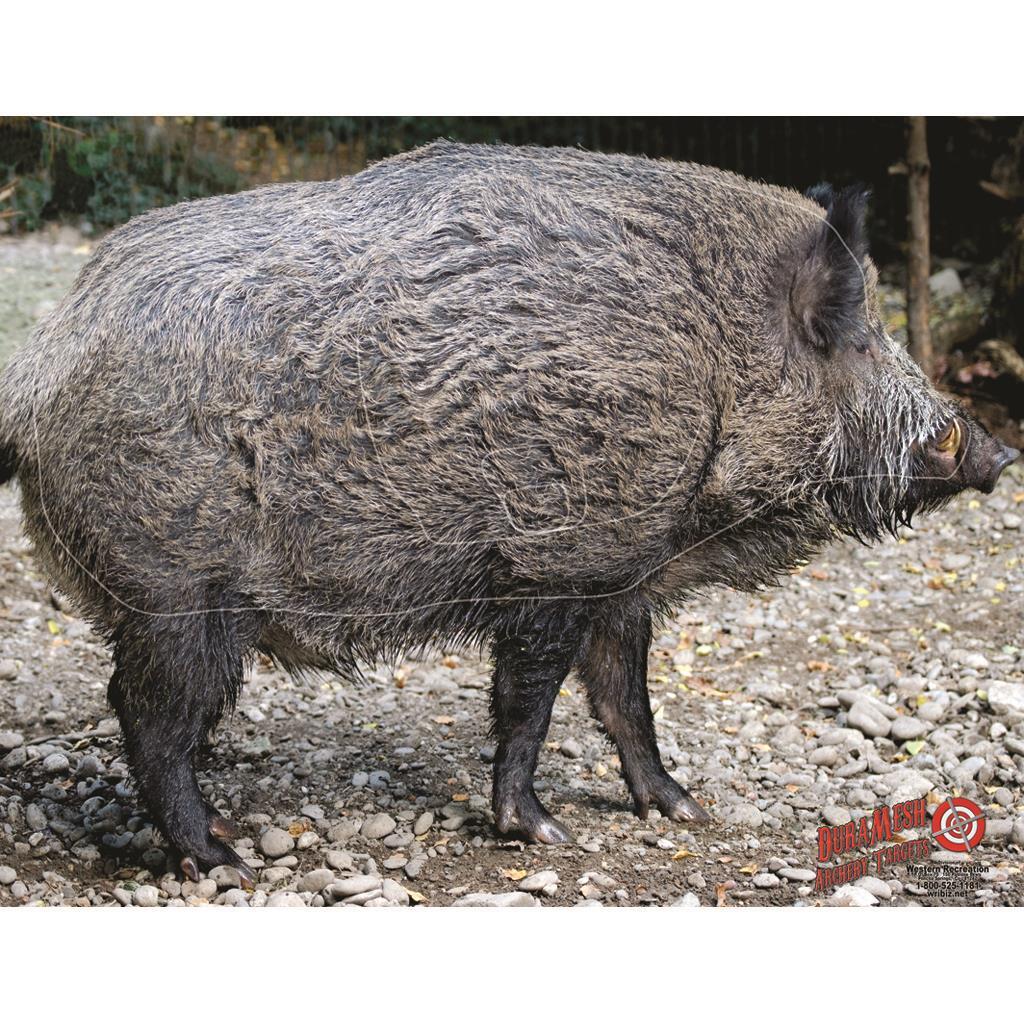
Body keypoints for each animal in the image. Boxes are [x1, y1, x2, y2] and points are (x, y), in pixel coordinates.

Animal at [0, 142, 1018, 882]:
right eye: (852, 335)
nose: (996, 450)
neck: (715, 368)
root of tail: (43, 365)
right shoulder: (555, 562)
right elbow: (529, 701)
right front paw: (542, 832)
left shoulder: (623, 573)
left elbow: (624, 697)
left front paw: (681, 807)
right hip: (173, 588)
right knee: (148, 719)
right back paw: (224, 860)